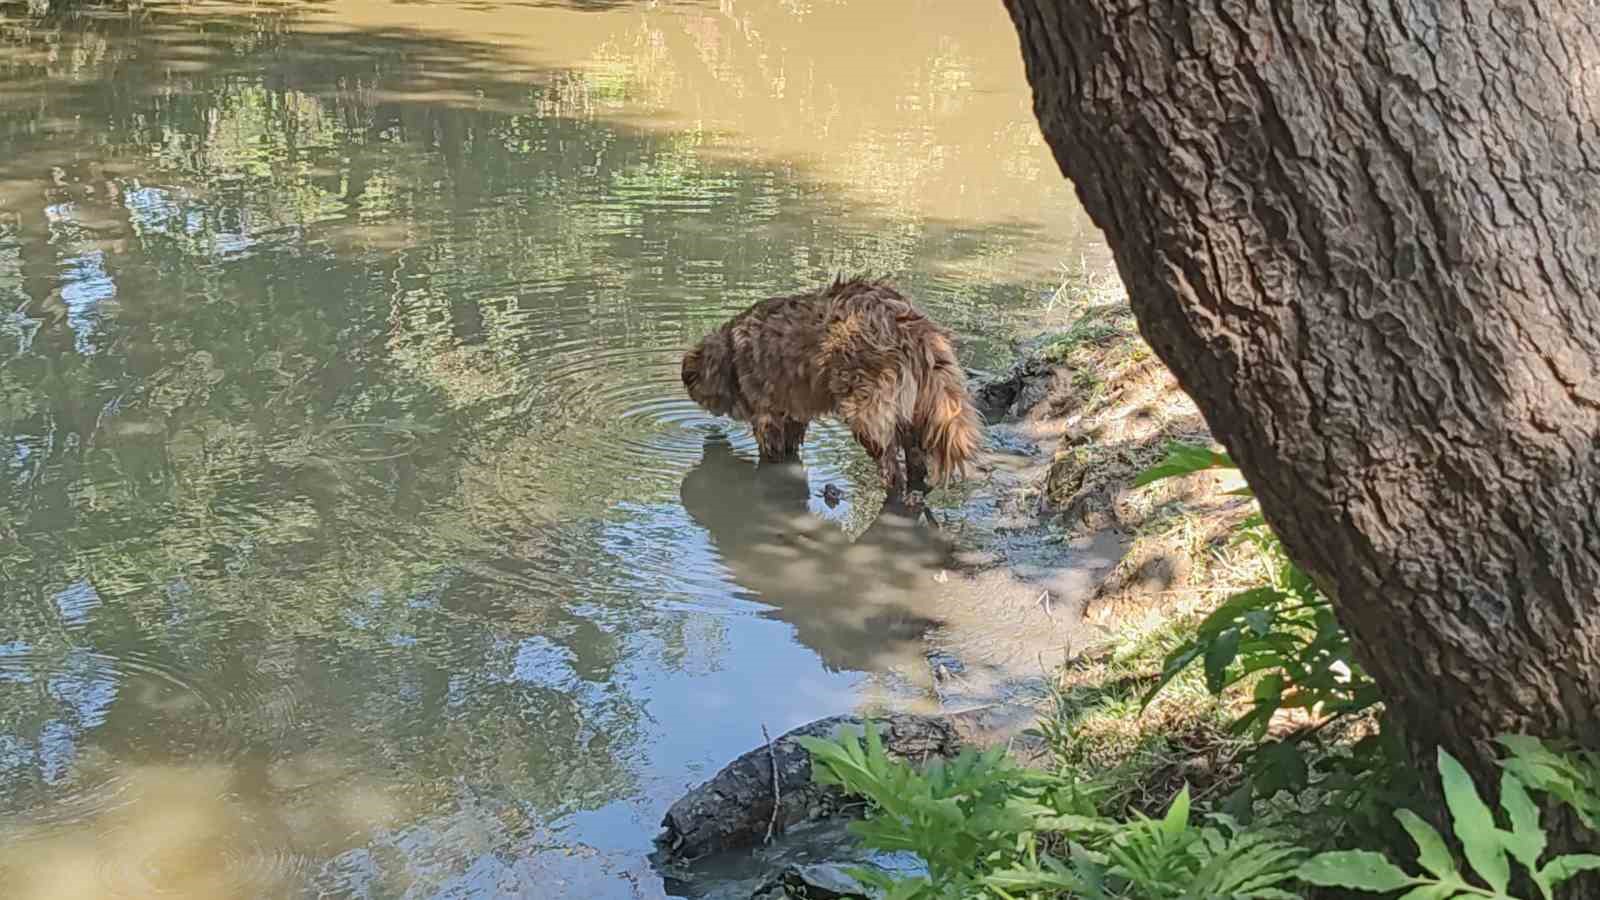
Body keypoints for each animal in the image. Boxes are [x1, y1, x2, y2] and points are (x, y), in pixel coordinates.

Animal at [672, 277, 972, 496]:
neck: (731, 354)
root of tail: (907, 323)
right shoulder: (792, 412)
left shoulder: (766, 415)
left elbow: (770, 451)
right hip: (912, 414)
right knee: (916, 461)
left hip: (867, 412)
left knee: (890, 466)